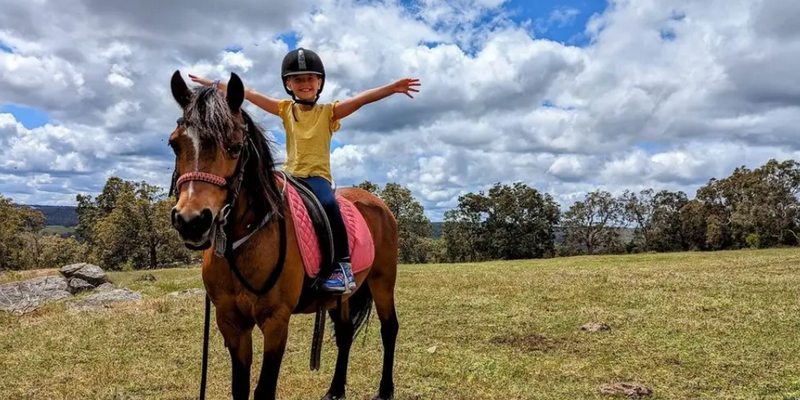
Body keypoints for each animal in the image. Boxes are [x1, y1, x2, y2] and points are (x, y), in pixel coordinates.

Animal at [166, 70, 399, 400]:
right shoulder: (231, 322)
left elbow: (264, 390)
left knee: (389, 328)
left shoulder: (276, 321)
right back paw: (335, 389)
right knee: (344, 334)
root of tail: (378, 203)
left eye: (234, 147)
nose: (191, 221)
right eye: (175, 144)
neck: (244, 240)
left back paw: (385, 389)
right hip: (343, 297)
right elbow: (240, 389)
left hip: (383, 280)